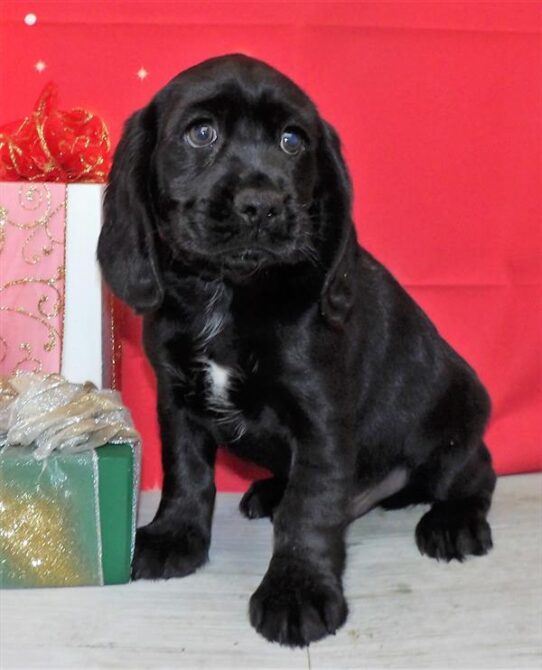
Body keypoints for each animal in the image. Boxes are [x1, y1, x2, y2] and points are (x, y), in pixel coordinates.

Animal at [98, 55, 498, 648]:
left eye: (292, 141)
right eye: (201, 133)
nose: (262, 205)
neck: (230, 293)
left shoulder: (321, 418)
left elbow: (309, 508)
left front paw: (297, 592)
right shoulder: (177, 400)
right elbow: (186, 476)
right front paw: (175, 538)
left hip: (452, 425)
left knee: (476, 471)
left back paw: (454, 523)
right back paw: (268, 491)